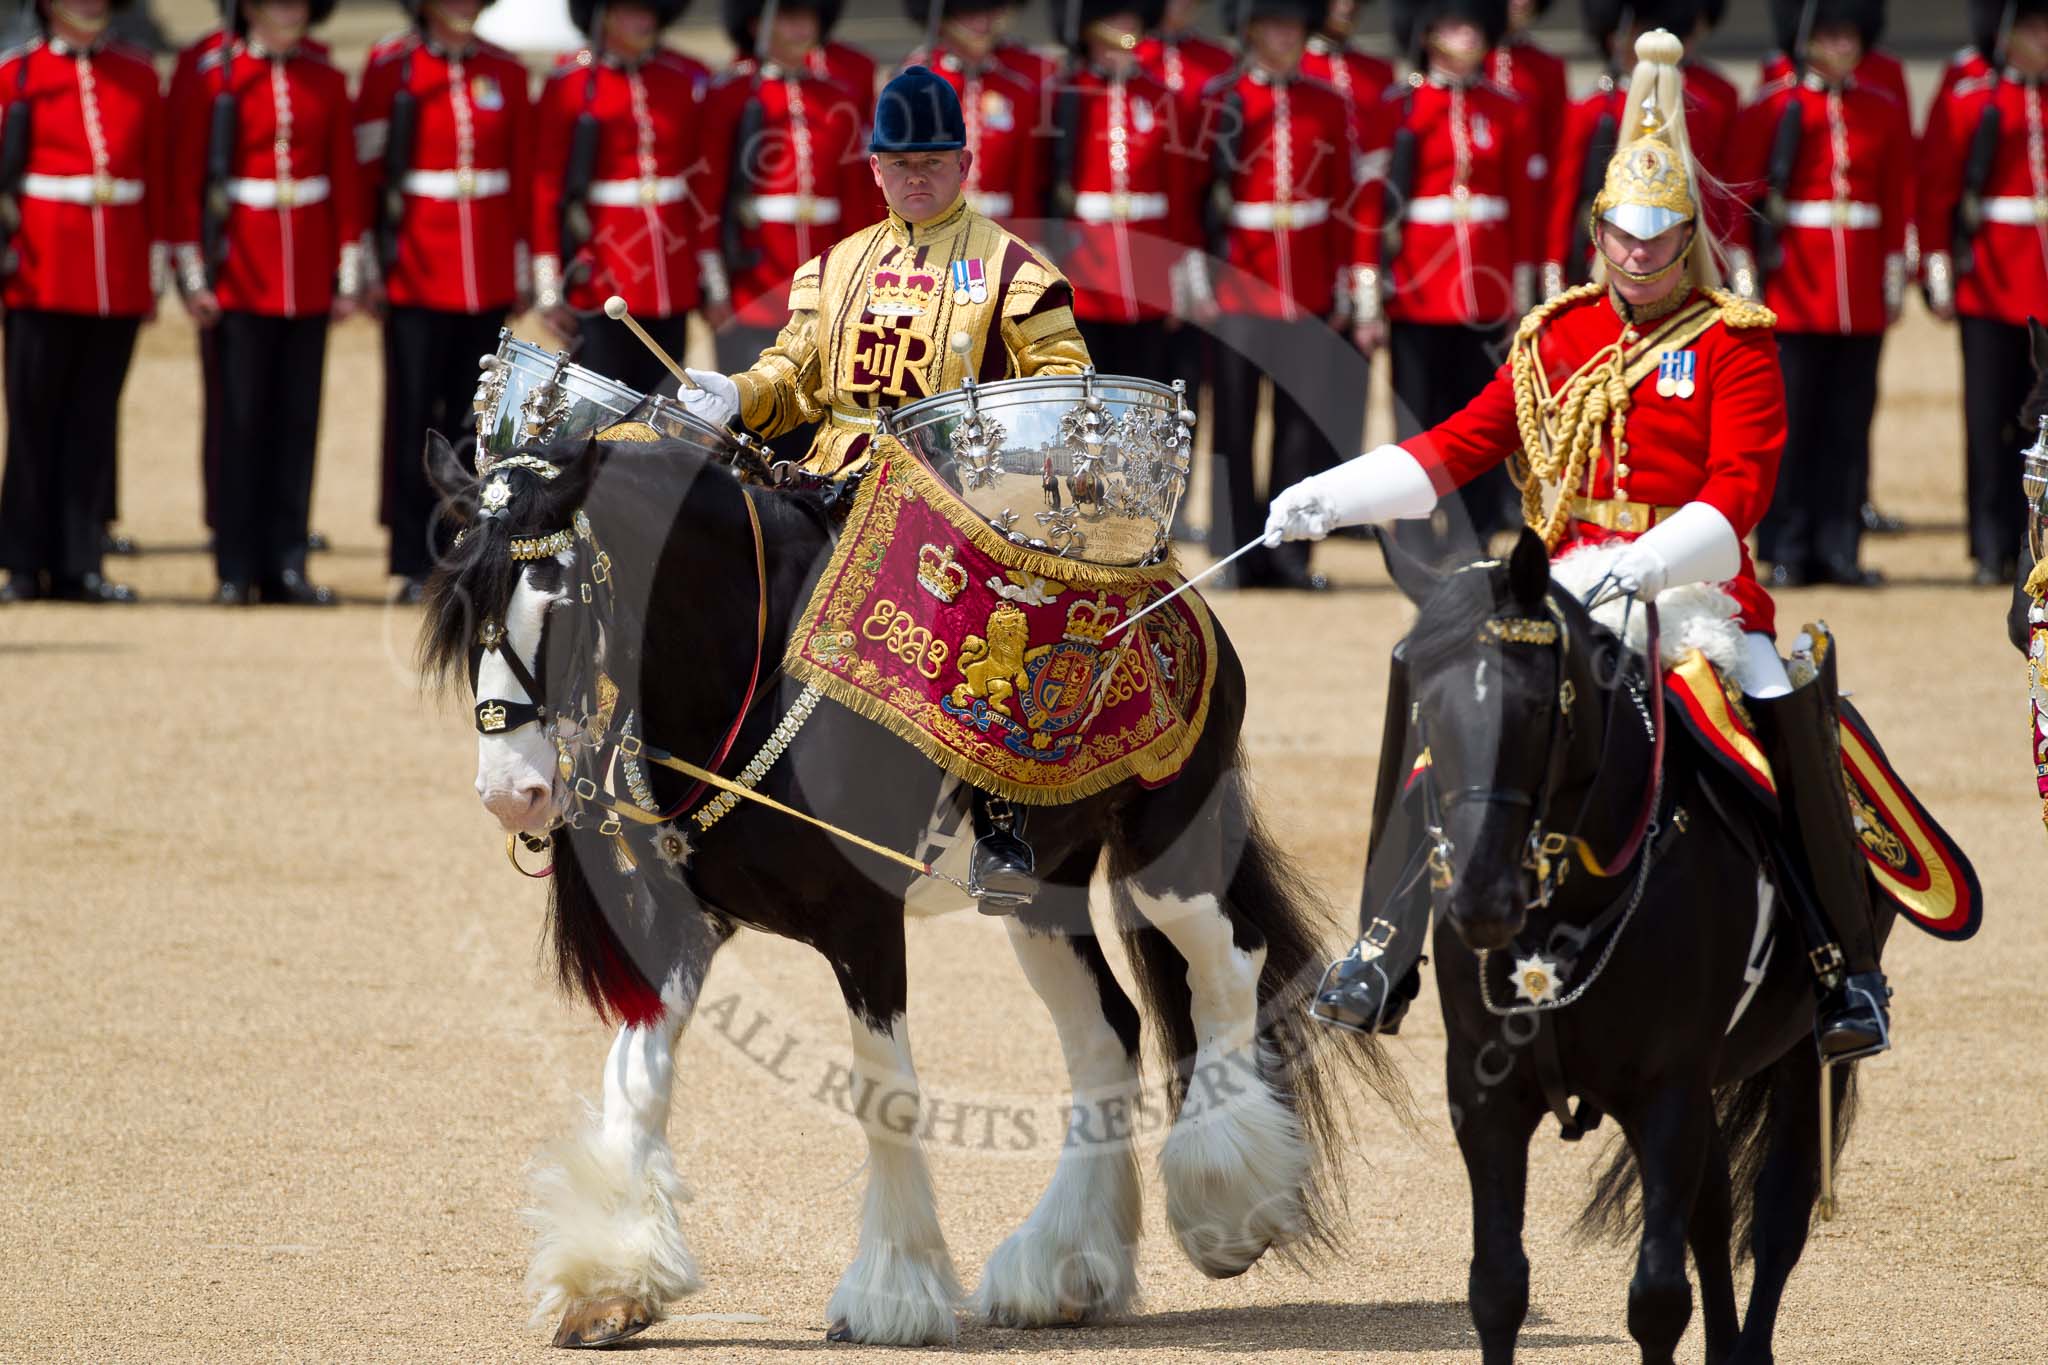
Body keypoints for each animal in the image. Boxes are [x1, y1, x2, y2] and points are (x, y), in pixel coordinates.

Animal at [415, 435, 1392, 1342]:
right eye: (460, 607)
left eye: (562, 601)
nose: (511, 791)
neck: (753, 670)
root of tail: (1184, 596)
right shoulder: (680, 924)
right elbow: (636, 1080)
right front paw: (611, 1280)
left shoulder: (864, 925)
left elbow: (882, 1094)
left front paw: (891, 1292)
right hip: (1040, 899)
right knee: (1107, 1033)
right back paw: (1064, 1265)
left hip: (1166, 861)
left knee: (1228, 971)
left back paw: (1226, 1200)